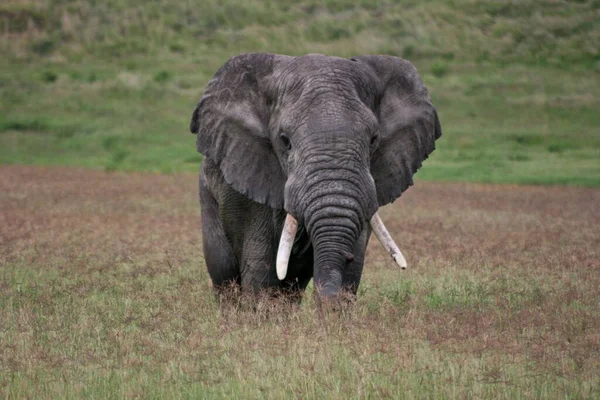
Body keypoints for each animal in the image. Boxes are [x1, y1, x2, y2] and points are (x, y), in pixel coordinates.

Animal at [190, 54, 442, 304]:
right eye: (285, 140)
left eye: (373, 139)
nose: (329, 299)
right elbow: (261, 272)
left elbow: (353, 267)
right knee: (225, 275)